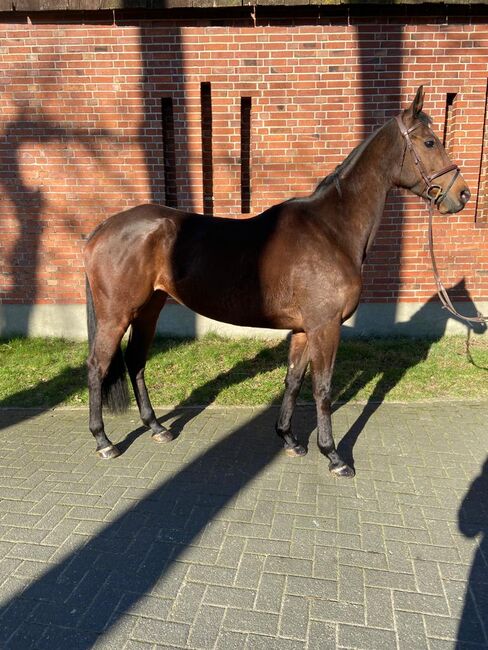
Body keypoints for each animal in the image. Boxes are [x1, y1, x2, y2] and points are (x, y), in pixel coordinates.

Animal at [84, 86, 468, 474]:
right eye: (430, 142)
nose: (462, 194)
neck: (331, 230)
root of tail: (102, 229)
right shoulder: (325, 327)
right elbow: (323, 388)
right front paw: (333, 455)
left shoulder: (303, 329)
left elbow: (294, 380)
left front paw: (290, 439)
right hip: (117, 315)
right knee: (97, 366)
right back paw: (103, 441)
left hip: (150, 308)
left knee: (136, 361)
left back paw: (157, 427)